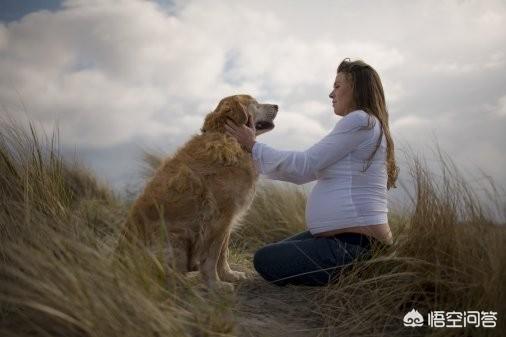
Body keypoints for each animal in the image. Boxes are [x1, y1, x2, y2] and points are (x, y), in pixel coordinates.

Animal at [121, 94, 278, 288]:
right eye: (256, 104)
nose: (277, 106)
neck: (227, 138)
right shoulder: (219, 217)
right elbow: (212, 255)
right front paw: (215, 283)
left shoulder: (228, 219)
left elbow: (223, 252)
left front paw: (228, 275)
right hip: (176, 236)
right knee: (167, 276)